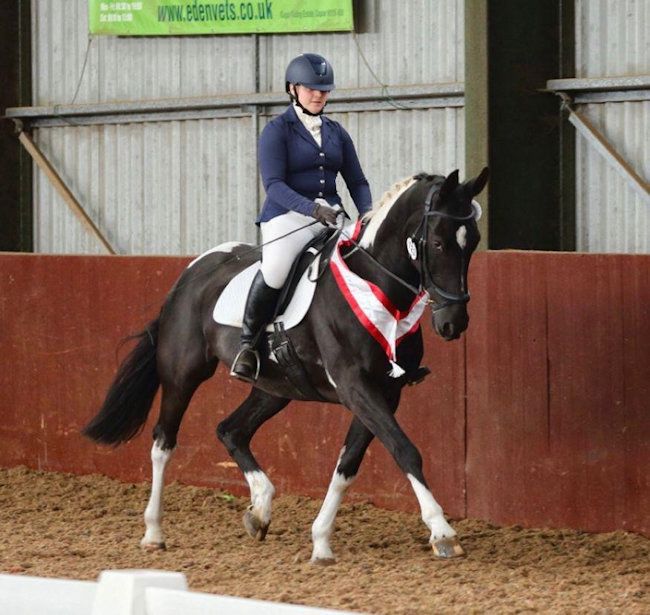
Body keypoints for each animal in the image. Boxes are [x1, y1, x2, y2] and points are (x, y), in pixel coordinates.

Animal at [83, 167, 489, 562]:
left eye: (473, 242)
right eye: (438, 243)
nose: (453, 323)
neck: (373, 283)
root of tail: (189, 274)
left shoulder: (385, 392)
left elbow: (347, 465)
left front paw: (321, 541)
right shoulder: (355, 386)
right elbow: (405, 449)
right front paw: (443, 533)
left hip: (275, 387)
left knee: (230, 430)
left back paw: (260, 508)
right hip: (183, 374)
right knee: (163, 442)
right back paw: (154, 533)